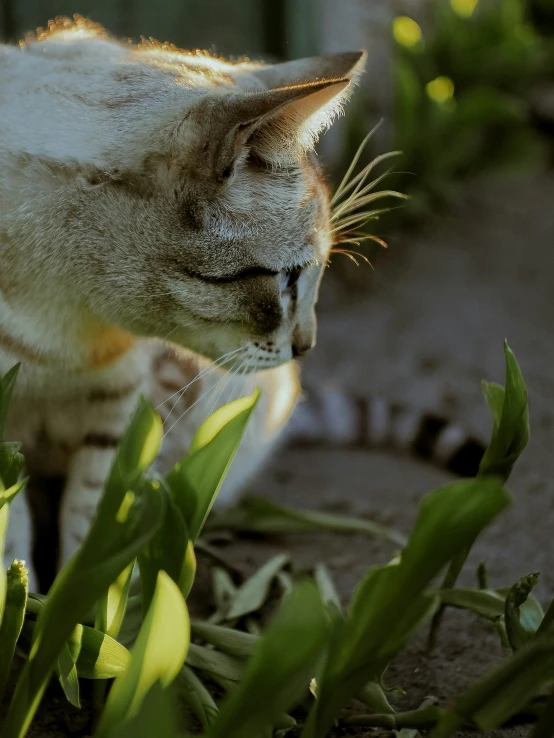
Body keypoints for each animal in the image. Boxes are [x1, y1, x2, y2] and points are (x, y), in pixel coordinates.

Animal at [1, 15, 484, 592]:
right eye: (288, 278)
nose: (308, 347)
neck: (64, 325)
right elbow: (13, 548)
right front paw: (30, 608)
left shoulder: (124, 416)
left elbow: (92, 536)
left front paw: (85, 607)